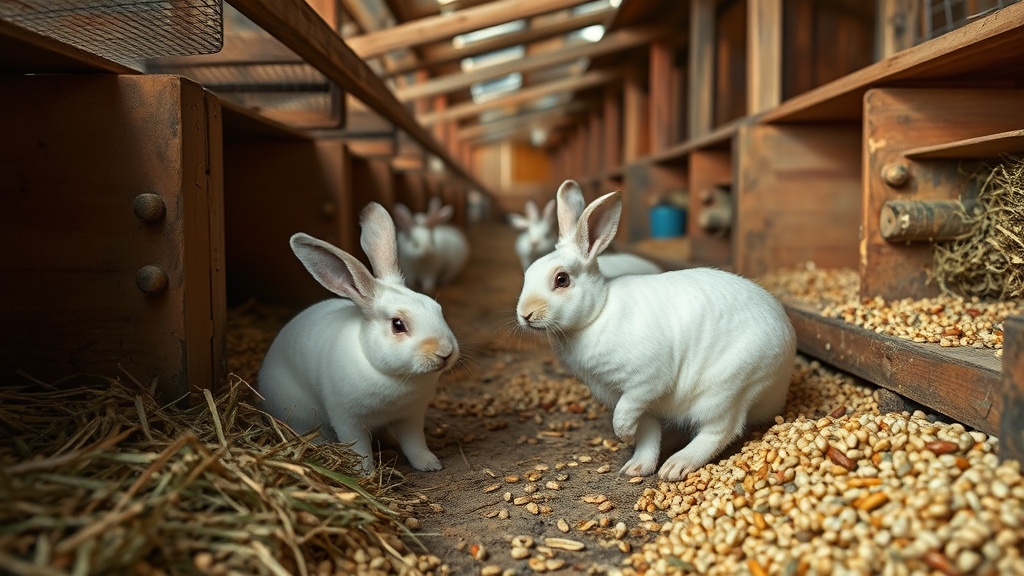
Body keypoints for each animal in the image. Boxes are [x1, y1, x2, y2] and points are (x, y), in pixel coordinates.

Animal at [258, 202, 459, 474]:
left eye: (437, 308)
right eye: (398, 325)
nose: (445, 352)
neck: (395, 377)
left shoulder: (411, 416)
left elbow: (415, 443)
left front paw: (429, 464)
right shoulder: (347, 419)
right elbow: (360, 449)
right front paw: (365, 473)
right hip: (298, 412)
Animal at [516, 180, 796, 481]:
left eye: (561, 279)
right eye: (527, 273)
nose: (525, 314)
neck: (598, 313)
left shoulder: (644, 383)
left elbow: (625, 417)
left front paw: (624, 437)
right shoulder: (627, 398)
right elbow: (647, 432)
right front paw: (637, 466)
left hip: (726, 389)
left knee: (721, 430)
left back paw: (676, 467)